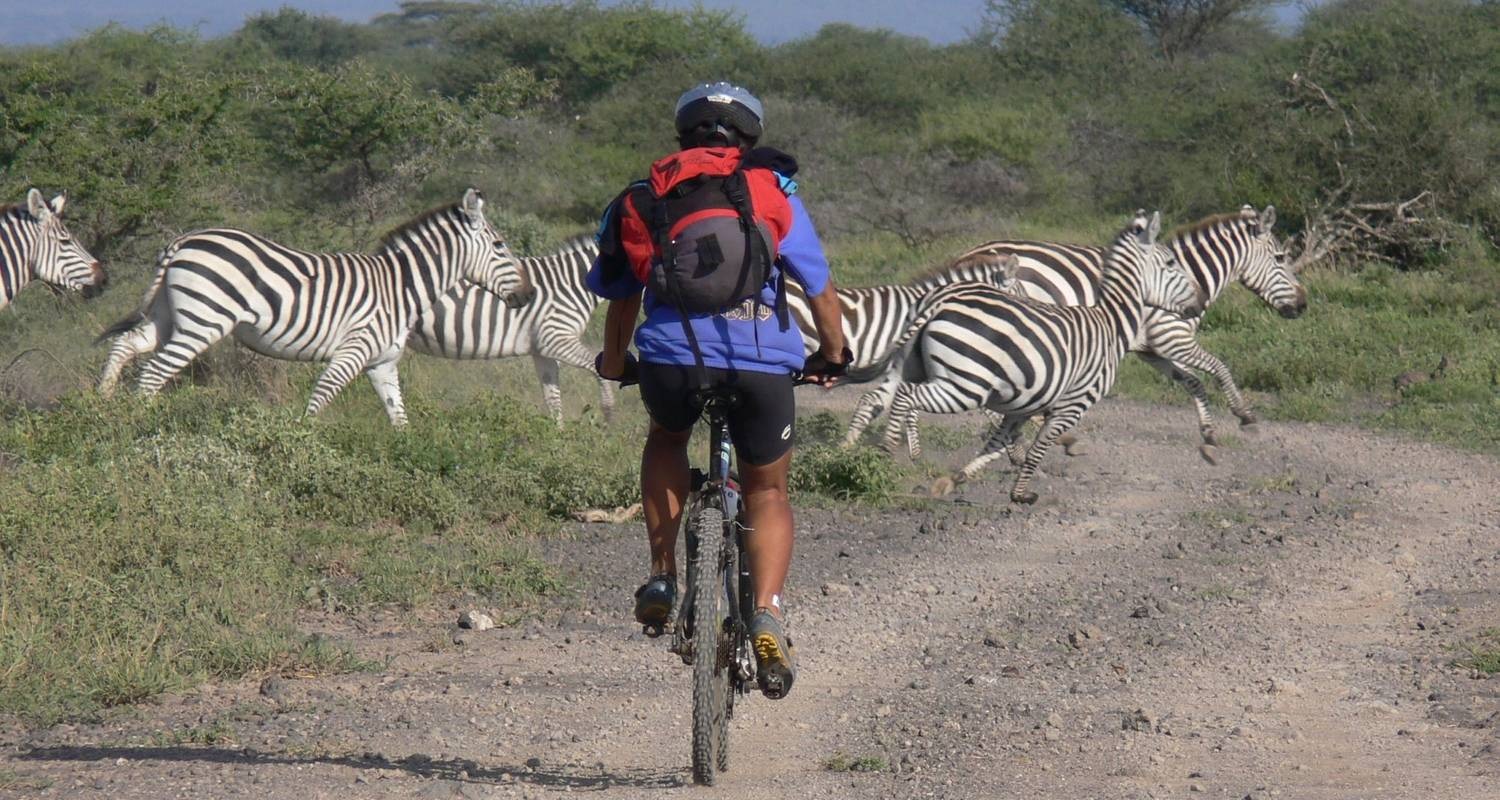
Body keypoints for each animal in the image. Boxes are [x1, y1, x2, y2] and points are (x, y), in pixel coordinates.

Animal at [95, 188, 534, 423]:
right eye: (500, 246)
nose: (528, 296)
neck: (402, 287)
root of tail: (183, 241)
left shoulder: (382, 362)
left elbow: (399, 417)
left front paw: (408, 457)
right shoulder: (352, 352)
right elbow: (320, 398)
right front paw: (301, 444)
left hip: (170, 316)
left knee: (126, 345)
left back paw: (100, 407)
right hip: (204, 322)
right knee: (153, 373)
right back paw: (136, 425)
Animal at [405, 232, 615, 423]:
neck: (570, 284)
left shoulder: (543, 350)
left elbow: (553, 398)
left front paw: (558, 436)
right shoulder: (556, 338)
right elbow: (597, 369)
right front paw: (608, 418)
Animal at [852, 204, 1308, 462]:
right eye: (1281, 258)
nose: (1303, 306)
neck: (1186, 275)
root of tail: (970, 255)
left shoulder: (1152, 349)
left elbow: (1193, 381)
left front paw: (1209, 434)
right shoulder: (1170, 335)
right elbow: (1218, 367)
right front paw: (1245, 416)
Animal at [876, 210, 1206, 498]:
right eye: (1172, 262)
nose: (1200, 303)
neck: (1111, 322)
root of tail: (938, 301)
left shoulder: (1022, 407)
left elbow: (997, 442)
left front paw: (955, 480)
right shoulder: (1073, 403)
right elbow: (1039, 447)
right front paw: (1020, 494)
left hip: (936, 373)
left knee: (898, 393)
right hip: (965, 385)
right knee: (906, 395)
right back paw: (887, 452)